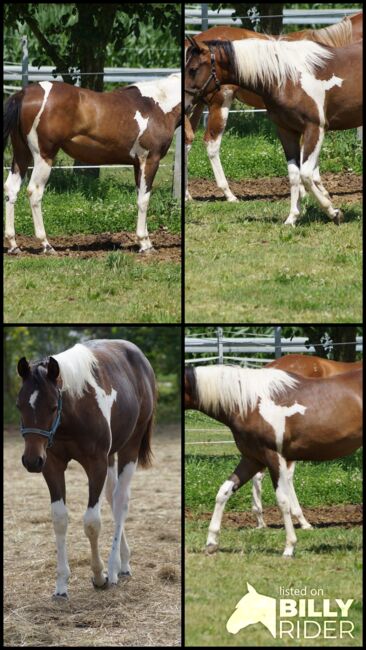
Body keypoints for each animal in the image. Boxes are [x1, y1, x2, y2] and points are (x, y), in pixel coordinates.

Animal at [2, 72, 180, 252]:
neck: (157, 105)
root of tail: (24, 93)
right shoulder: (150, 161)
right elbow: (144, 200)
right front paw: (145, 245)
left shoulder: (138, 164)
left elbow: (140, 196)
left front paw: (145, 241)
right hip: (43, 156)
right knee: (34, 192)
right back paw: (46, 244)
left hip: (22, 155)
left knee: (11, 189)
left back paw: (13, 244)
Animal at [17, 340, 156, 596]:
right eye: (19, 405)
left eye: (53, 406)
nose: (31, 461)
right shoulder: (52, 465)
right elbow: (60, 519)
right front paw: (61, 584)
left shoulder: (96, 464)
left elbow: (92, 522)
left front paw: (99, 576)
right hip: (111, 455)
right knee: (112, 497)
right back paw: (124, 562)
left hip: (129, 447)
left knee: (121, 500)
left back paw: (114, 568)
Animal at [184, 12, 362, 205]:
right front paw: (310, 192)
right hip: (220, 102)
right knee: (211, 143)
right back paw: (228, 194)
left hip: (198, 103)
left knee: (187, 140)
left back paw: (186, 195)